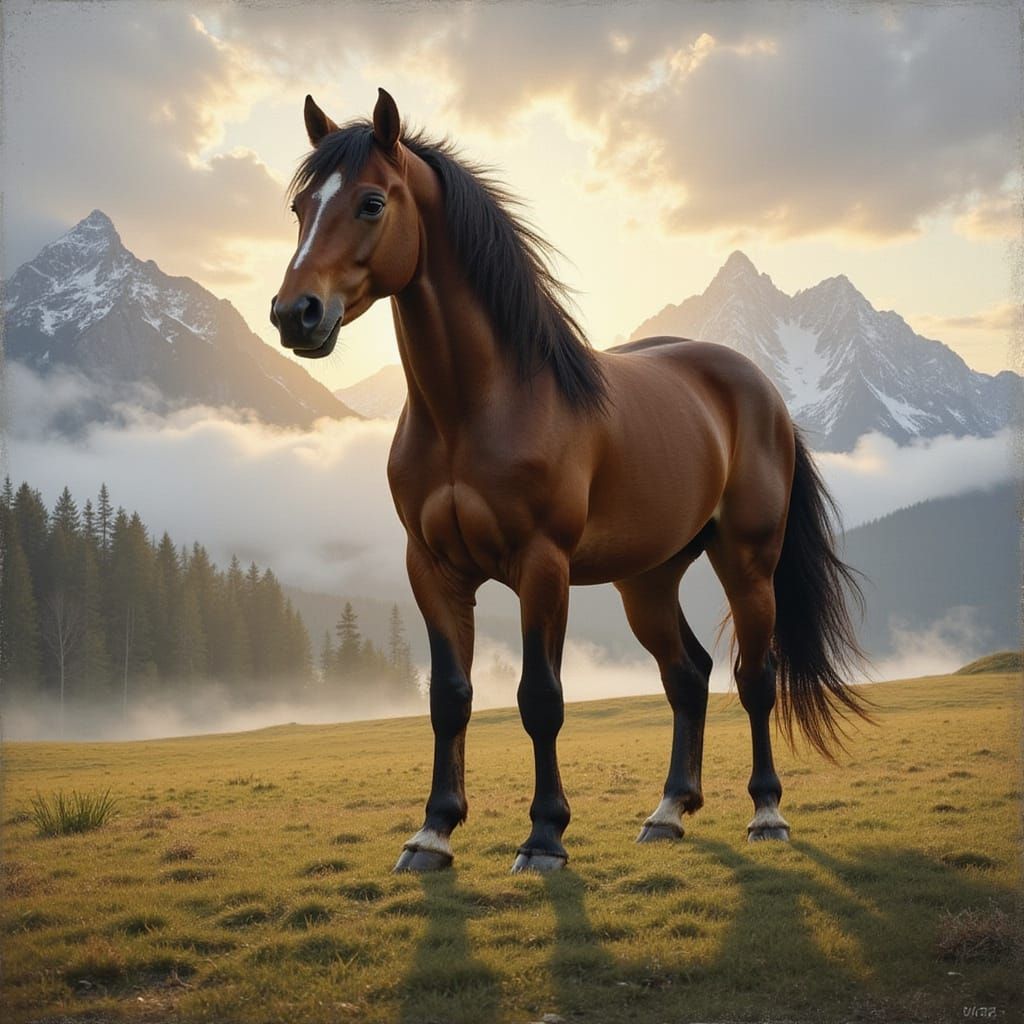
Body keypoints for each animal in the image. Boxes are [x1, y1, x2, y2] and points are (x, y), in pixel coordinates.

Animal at [270, 89, 870, 873]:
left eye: (371, 203)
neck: (477, 408)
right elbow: (449, 697)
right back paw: (668, 812)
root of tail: (757, 387)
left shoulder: (542, 566)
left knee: (754, 677)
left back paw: (766, 813)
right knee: (687, 674)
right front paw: (432, 833)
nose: (295, 315)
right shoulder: (430, 569)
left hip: (747, 562)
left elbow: (541, 698)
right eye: (300, 207)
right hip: (646, 579)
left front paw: (545, 836)